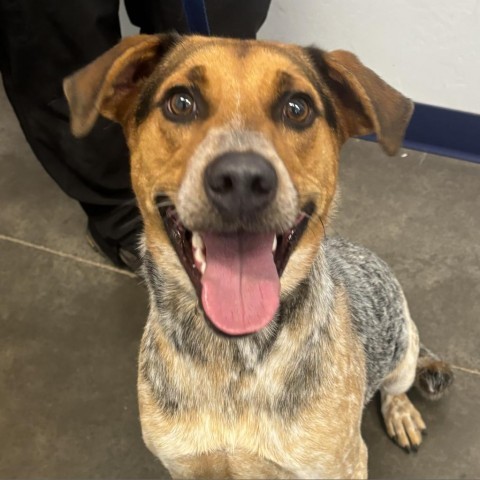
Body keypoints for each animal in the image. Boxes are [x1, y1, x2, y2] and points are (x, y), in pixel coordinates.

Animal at [64, 35, 454, 478]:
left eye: (298, 108)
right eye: (180, 102)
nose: (242, 179)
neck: (233, 359)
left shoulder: (343, 464)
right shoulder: (185, 465)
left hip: (404, 352)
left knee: (396, 387)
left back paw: (401, 412)